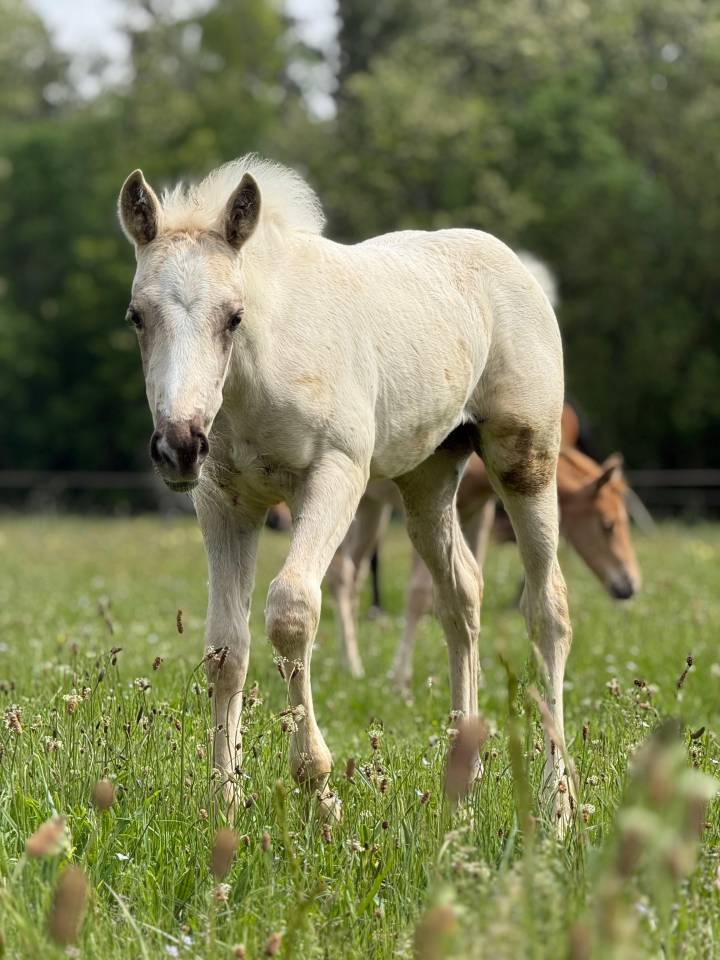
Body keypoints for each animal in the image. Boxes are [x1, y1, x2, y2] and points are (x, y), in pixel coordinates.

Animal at [118, 155, 573, 827]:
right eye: (137, 316)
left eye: (233, 315)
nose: (179, 444)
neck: (263, 367)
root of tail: (515, 265)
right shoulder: (224, 503)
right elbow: (226, 647)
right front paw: (224, 799)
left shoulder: (335, 476)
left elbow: (291, 611)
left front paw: (319, 788)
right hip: (427, 479)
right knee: (460, 594)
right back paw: (459, 785)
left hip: (525, 460)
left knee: (547, 609)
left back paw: (556, 802)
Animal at [326, 446, 640, 685]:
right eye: (608, 524)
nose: (629, 586)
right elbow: (419, 593)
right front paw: (400, 678)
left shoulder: (477, 512)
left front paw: (476, 676)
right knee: (340, 574)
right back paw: (352, 664)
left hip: (372, 505)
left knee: (354, 574)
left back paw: (347, 660)